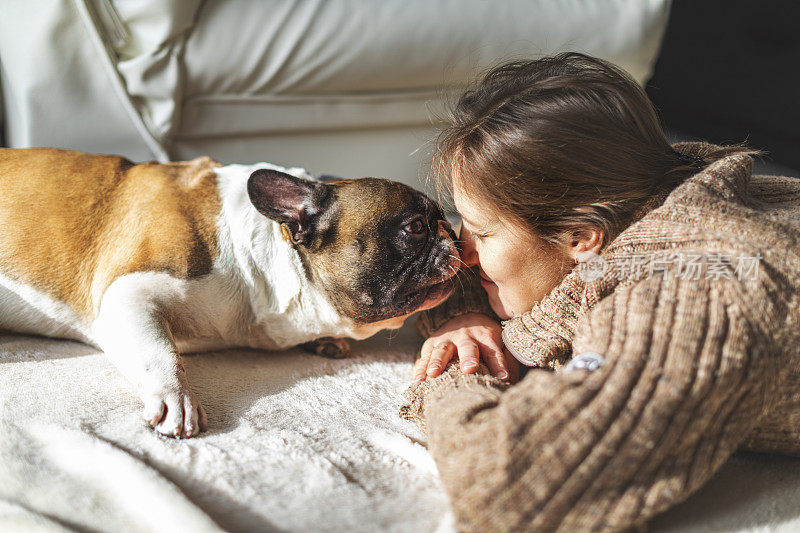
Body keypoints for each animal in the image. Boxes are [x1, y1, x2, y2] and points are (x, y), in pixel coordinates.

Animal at [0, 149, 460, 436]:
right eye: (416, 227)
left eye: (444, 220)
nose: (452, 234)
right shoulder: (128, 292)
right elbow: (160, 350)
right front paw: (176, 398)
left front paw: (326, 341)